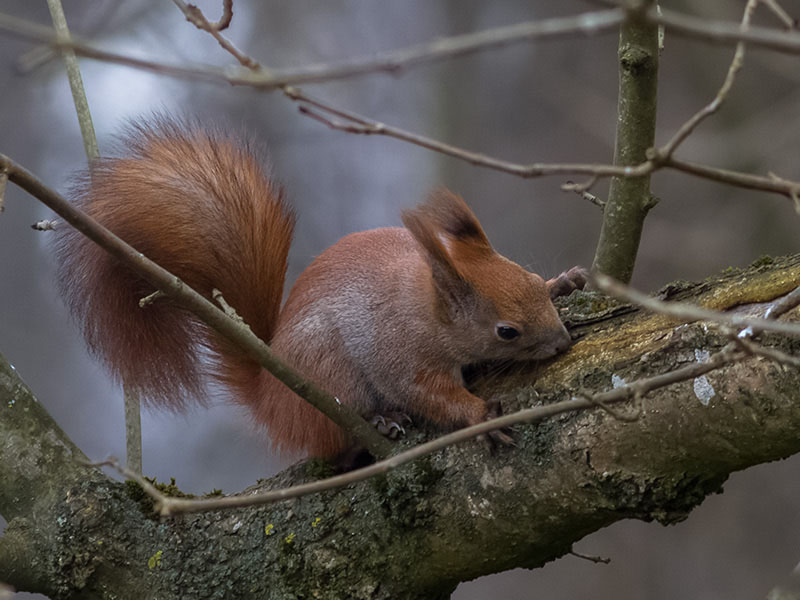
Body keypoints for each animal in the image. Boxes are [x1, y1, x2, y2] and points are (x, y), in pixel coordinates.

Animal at [54, 116, 580, 454]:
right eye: (506, 331)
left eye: (531, 279)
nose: (561, 342)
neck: (425, 303)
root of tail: (273, 396)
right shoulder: (401, 353)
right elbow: (427, 394)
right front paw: (478, 416)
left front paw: (564, 282)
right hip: (329, 373)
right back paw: (380, 420)